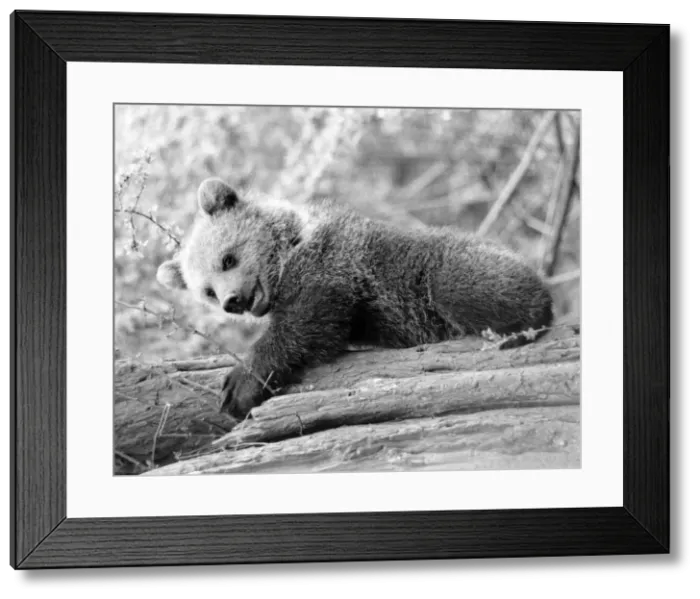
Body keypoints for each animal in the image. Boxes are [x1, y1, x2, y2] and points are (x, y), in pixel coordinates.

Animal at [156, 177, 554, 420]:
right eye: (207, 291)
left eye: (227, 258)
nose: (233, 301)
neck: (291, 248)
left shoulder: (334, 268)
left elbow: (307, 322)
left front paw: (238, 386)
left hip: (442, 267)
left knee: (466, 284)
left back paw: (520, 325)